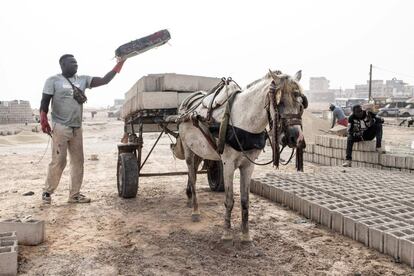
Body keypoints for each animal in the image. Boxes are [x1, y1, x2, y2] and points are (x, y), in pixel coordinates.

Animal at [176, 70, 306, 243]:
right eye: (280, 103)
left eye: (301, 104)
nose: (295, 138)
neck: (244, 122)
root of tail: (186, 106)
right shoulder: (228, 164)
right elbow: (229, 200)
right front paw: (226, 233)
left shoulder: (248, 166)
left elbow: (245, 200)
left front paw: (246, 234)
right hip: (189, 150)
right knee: (192, 174)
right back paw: (195, 210)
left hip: (198, 150)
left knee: (194, 175)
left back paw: (189, 198)